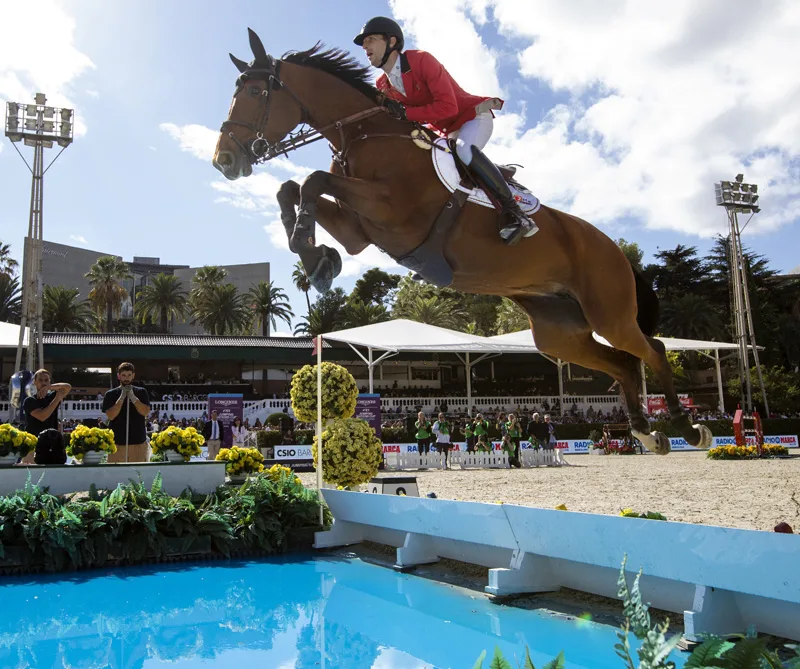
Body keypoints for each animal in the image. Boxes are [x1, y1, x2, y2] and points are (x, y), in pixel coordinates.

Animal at [211, 27, 712, 454]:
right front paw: (318, 260)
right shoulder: (360, 231)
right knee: (622, 363)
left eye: (255, 92)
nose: (224, 161)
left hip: (609, 313)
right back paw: (647, 433)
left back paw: (688, 428)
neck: (364, 132)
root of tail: (616, 250)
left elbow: (312, 181)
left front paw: (310, 250)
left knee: (652, 349)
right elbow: (293, 188)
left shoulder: (391, 211)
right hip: (559, 334)